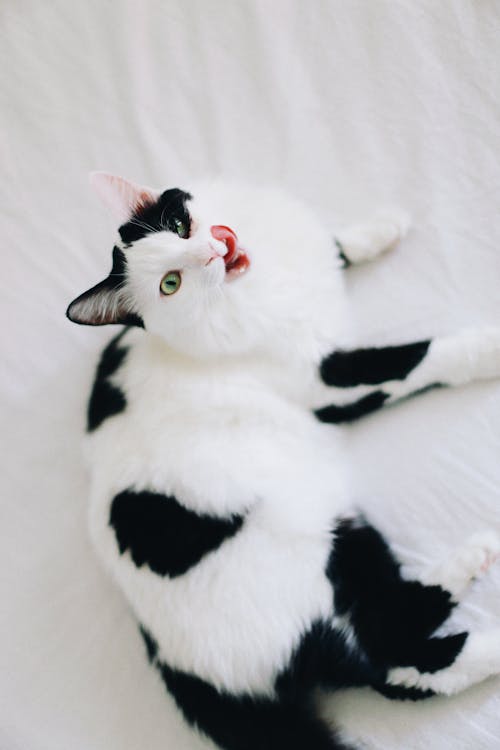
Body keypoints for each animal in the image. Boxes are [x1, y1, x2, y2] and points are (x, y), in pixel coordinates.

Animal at [66, 173, 500, 750]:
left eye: (178, 225)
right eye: (170, 284)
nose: (210, 251)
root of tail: (170, 659)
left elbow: (331, 245)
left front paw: (377, 231)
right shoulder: (329, 382)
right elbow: (419, 357)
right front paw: (487, 349)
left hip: (349, 533)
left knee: (398, 647)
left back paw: (470, 563)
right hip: (309, 548)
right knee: (389, 655)